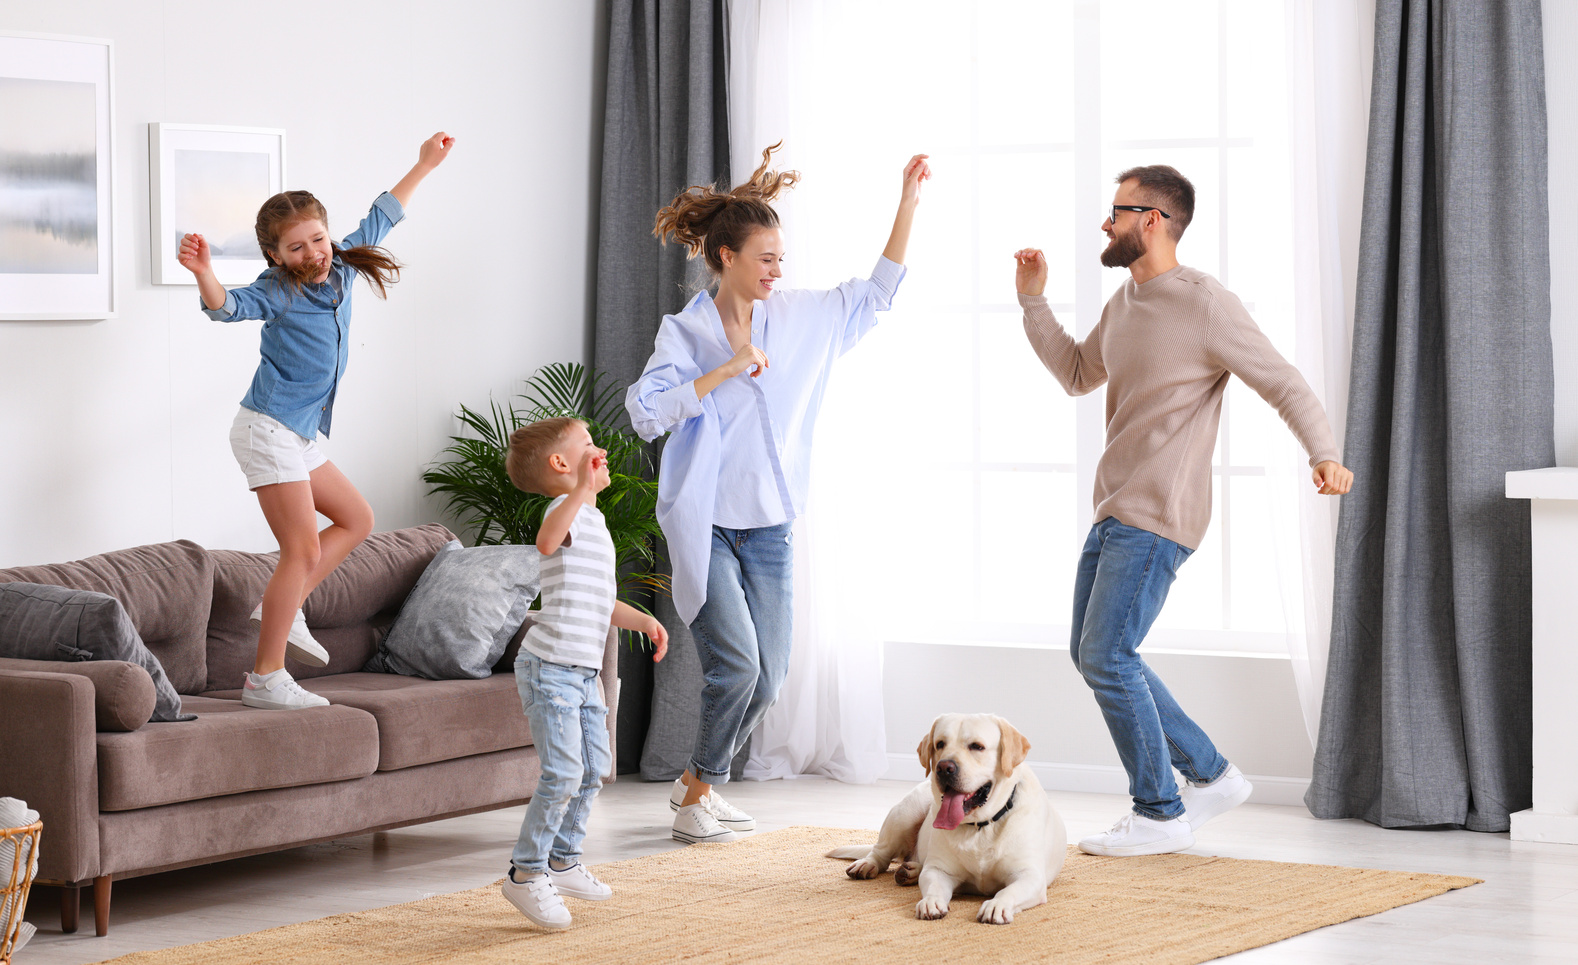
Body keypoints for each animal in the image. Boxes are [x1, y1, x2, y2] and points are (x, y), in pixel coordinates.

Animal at [833, 712, 1066, 920]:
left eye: (977, 746)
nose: (944, 767)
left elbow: (1008, 891)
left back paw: (910, 871)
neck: (979, 827)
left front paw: (996, 905)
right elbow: (934, 886)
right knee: (881, 852)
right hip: (906, 811)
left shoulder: (1030, 876)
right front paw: (931, 902)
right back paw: (869, 864)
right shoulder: (939, 870)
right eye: (939, 744)